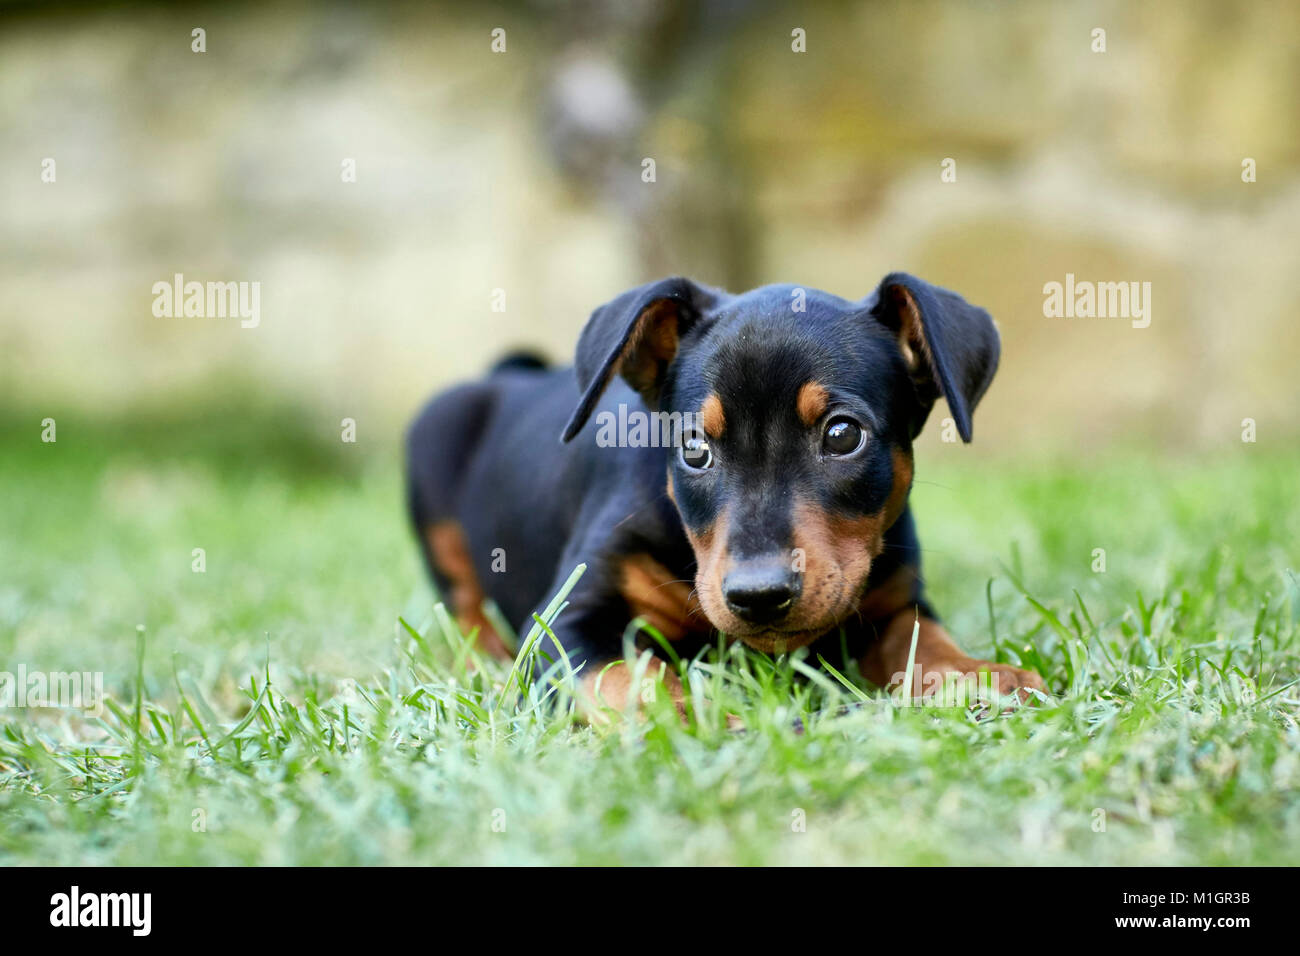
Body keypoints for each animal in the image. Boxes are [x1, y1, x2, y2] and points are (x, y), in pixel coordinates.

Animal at [405, 273, 1045, 712]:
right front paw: (696, 720)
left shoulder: (894, 598)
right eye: (694, 448)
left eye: (843, 435)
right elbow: (631, 679)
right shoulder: (565, 623)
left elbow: (922, 640)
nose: (759, 596)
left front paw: (979, 675)